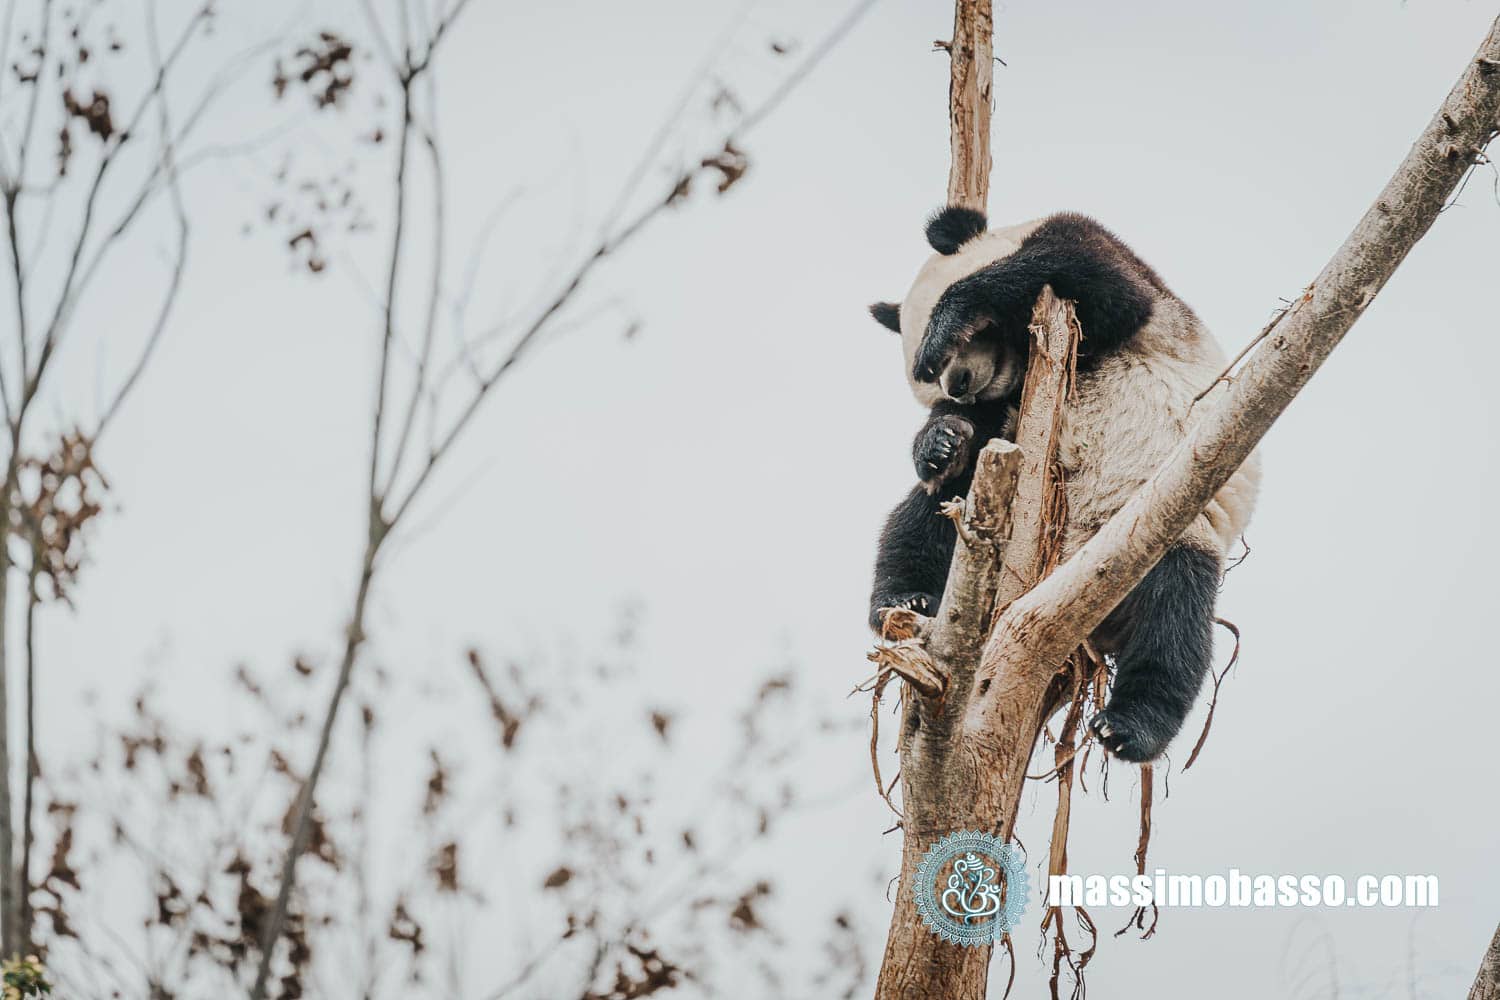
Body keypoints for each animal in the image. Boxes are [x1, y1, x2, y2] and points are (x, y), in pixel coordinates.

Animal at [867, 206, 1260, 763]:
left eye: (947, 357)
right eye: (929, 382)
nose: (957, 384)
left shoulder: (1113, 272)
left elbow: (1098, 281)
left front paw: (950, 318)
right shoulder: (1002, 407)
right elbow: (965, 442)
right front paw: (941, 441)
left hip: (1168, 527)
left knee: (1174, 618)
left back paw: (1129, 727)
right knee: (920, 520)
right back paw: (905, 600)